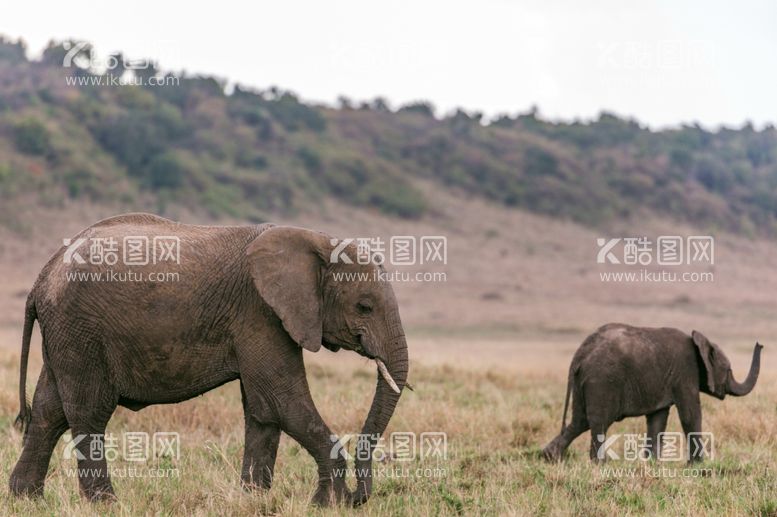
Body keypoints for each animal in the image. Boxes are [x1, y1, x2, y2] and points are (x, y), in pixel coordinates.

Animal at [9, 213, 410, 504]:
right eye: (364, 306)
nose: (360, 497)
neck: (316, 241)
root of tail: (43, 276)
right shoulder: (260, 313)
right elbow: (284, 402)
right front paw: (329, 504)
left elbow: (263, 410)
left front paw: (252, 500)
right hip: (81, 330)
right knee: (88, 411)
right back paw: (105, 503)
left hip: (66, 335)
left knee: (48, 410)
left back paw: (25, 499)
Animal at [544, 324, 760, 462]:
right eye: (729, 370)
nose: (760, 344)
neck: (700, 341)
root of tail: (580, 354)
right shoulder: (685, 373)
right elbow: (691, 414)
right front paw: (698, 466)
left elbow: (658, 419)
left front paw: (652, 464)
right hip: (602, 381)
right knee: (599, 422)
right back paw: (598, 464)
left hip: (584, 381)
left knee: (579, 421)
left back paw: (549, 458)